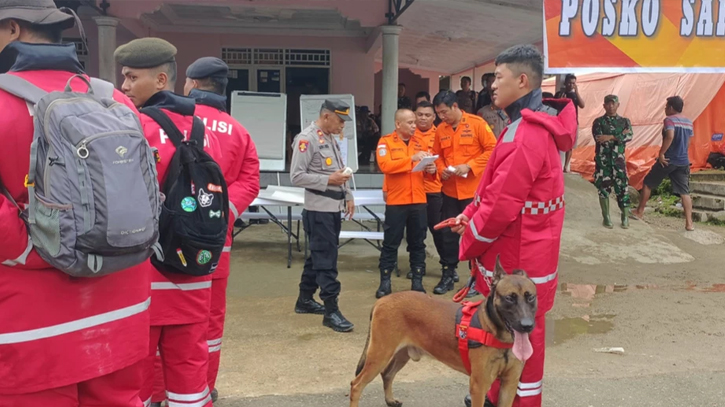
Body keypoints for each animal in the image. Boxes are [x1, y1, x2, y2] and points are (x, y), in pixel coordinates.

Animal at [348, 258, 536, 407]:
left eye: (531, 297)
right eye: (509, 298)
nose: (527, 325)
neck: (497, 333)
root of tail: (382, 301)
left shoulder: (509, 384)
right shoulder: (479, 386)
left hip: (402, 354)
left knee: (387, 374)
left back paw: (390, 400)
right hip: (379, 356)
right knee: (356, 385)